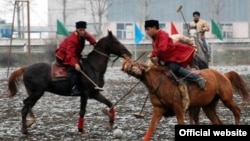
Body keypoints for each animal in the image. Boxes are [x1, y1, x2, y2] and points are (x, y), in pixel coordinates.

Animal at [120, 58, 248, 141]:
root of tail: (224, 75)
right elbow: (151, 128)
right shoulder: (158, 109)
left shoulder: (178, 108)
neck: (160, 82)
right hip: (208, 106)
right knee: (217, 121)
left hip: (226, 98)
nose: (124, 66)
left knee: (237, 111)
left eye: (133, 64)